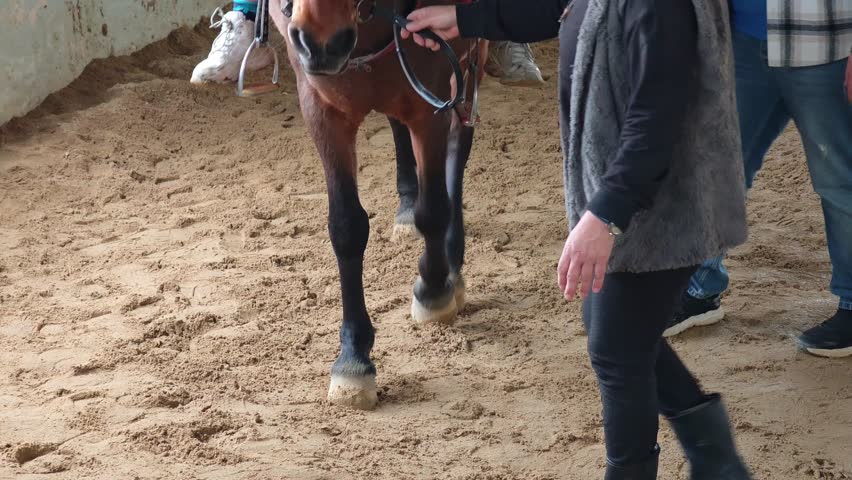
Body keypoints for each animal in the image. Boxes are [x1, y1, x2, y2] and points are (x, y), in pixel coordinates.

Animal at [268, 0, 487, 410]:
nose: (321, 41)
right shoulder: (322, 108)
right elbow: (346, 227)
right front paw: (353, 358)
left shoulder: (429, 102)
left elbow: (434, 209)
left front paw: (434, 291)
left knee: (458, 142)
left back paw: (452, 259)